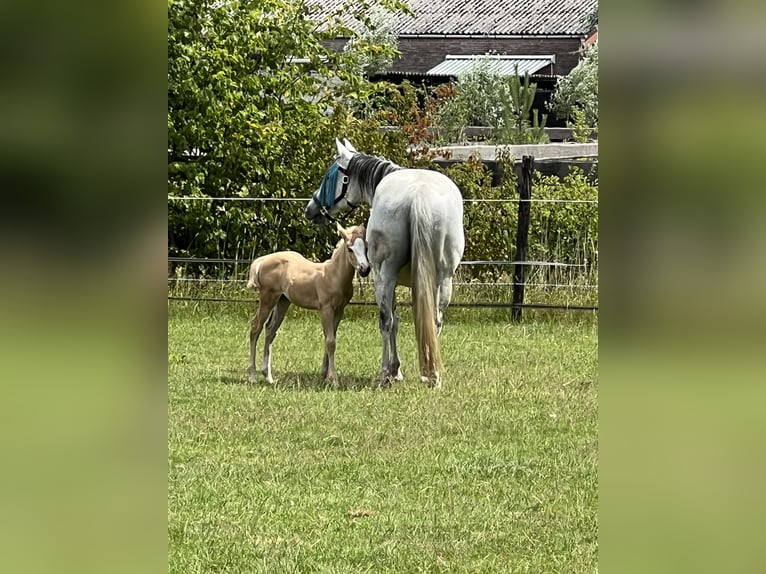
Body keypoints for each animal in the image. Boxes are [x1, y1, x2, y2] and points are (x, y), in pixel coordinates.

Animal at [246, 222, 370, 386]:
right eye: (350, 249)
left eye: (366, 247)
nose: (365, 269)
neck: (334, 275)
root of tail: (262, 261)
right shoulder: (326, 309)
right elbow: (330, 342)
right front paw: (334, 379)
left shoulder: (339, 310)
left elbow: (330, 338)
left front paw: (325, 376)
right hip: (268, 298)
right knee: (256, 327)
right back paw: (252, 376)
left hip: (282, 301)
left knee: (270, 330)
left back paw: (269, 377)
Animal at [305, 138, 465, 388]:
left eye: (330, 176)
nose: (311, 209)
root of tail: (419, 195)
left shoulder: (386, 278)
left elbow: (392, 321)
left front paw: (393, 370)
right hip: (444, 279)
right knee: (435, 321)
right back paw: (432, 374)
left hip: (384, 276)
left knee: (386, 321)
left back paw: (384, 372)